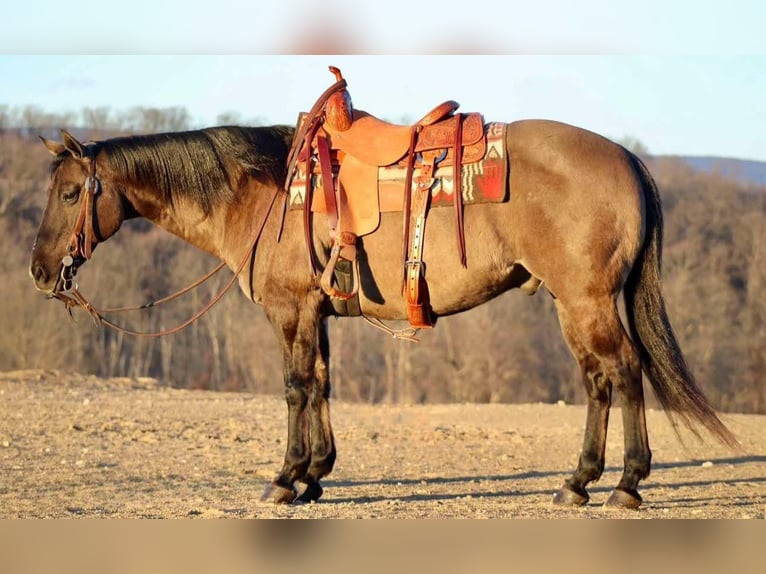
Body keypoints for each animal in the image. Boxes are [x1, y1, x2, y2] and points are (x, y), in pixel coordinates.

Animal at [28, 116, 736, 508]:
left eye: (69, 193)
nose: (38, 271)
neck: (262, 194)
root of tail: (628, 159)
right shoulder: (317, 314)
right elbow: (322, 384)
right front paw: (316, 475)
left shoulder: (291, 311)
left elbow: (295, 387)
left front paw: (285, 478)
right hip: (571, 304)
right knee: (597, 382)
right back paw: (578, 481)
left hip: (587, 301)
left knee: (625, 373)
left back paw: (626, 485)